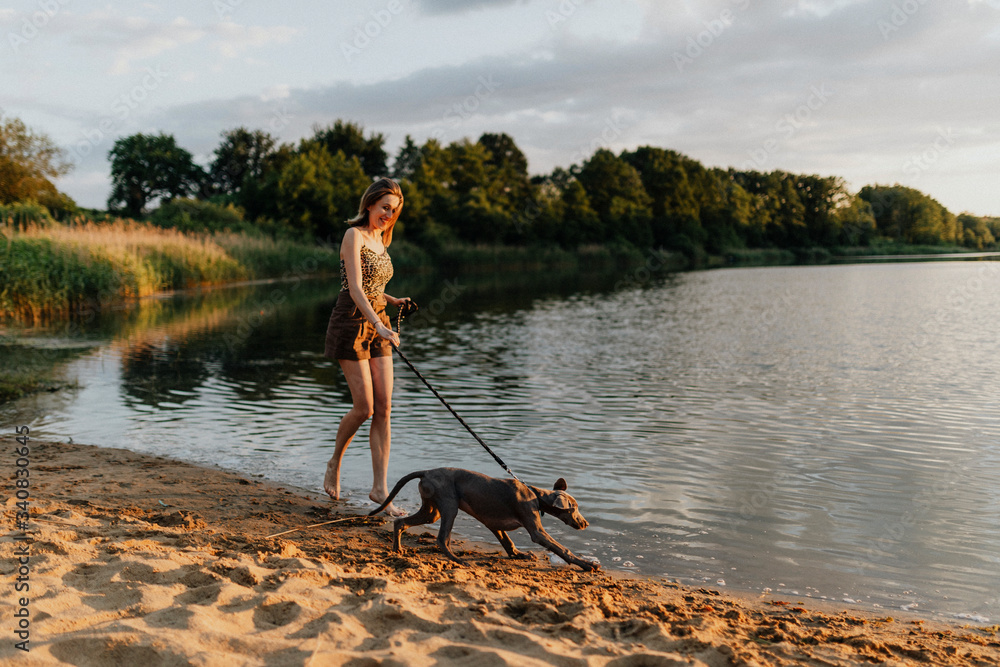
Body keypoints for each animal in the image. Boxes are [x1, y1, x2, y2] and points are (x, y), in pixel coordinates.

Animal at [370, 468, 596, 572]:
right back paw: (458, 560)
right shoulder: (536, 531)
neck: (536, 496)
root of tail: (426, 472)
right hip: (449, 506)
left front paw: (519, 555)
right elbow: (562, 549)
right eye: (574, 508)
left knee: (400, 522)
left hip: (432, 511)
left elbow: (508, 542)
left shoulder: (494, 525)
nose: (585, 524)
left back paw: (398, 550)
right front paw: (586, 564)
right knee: (442, 539)